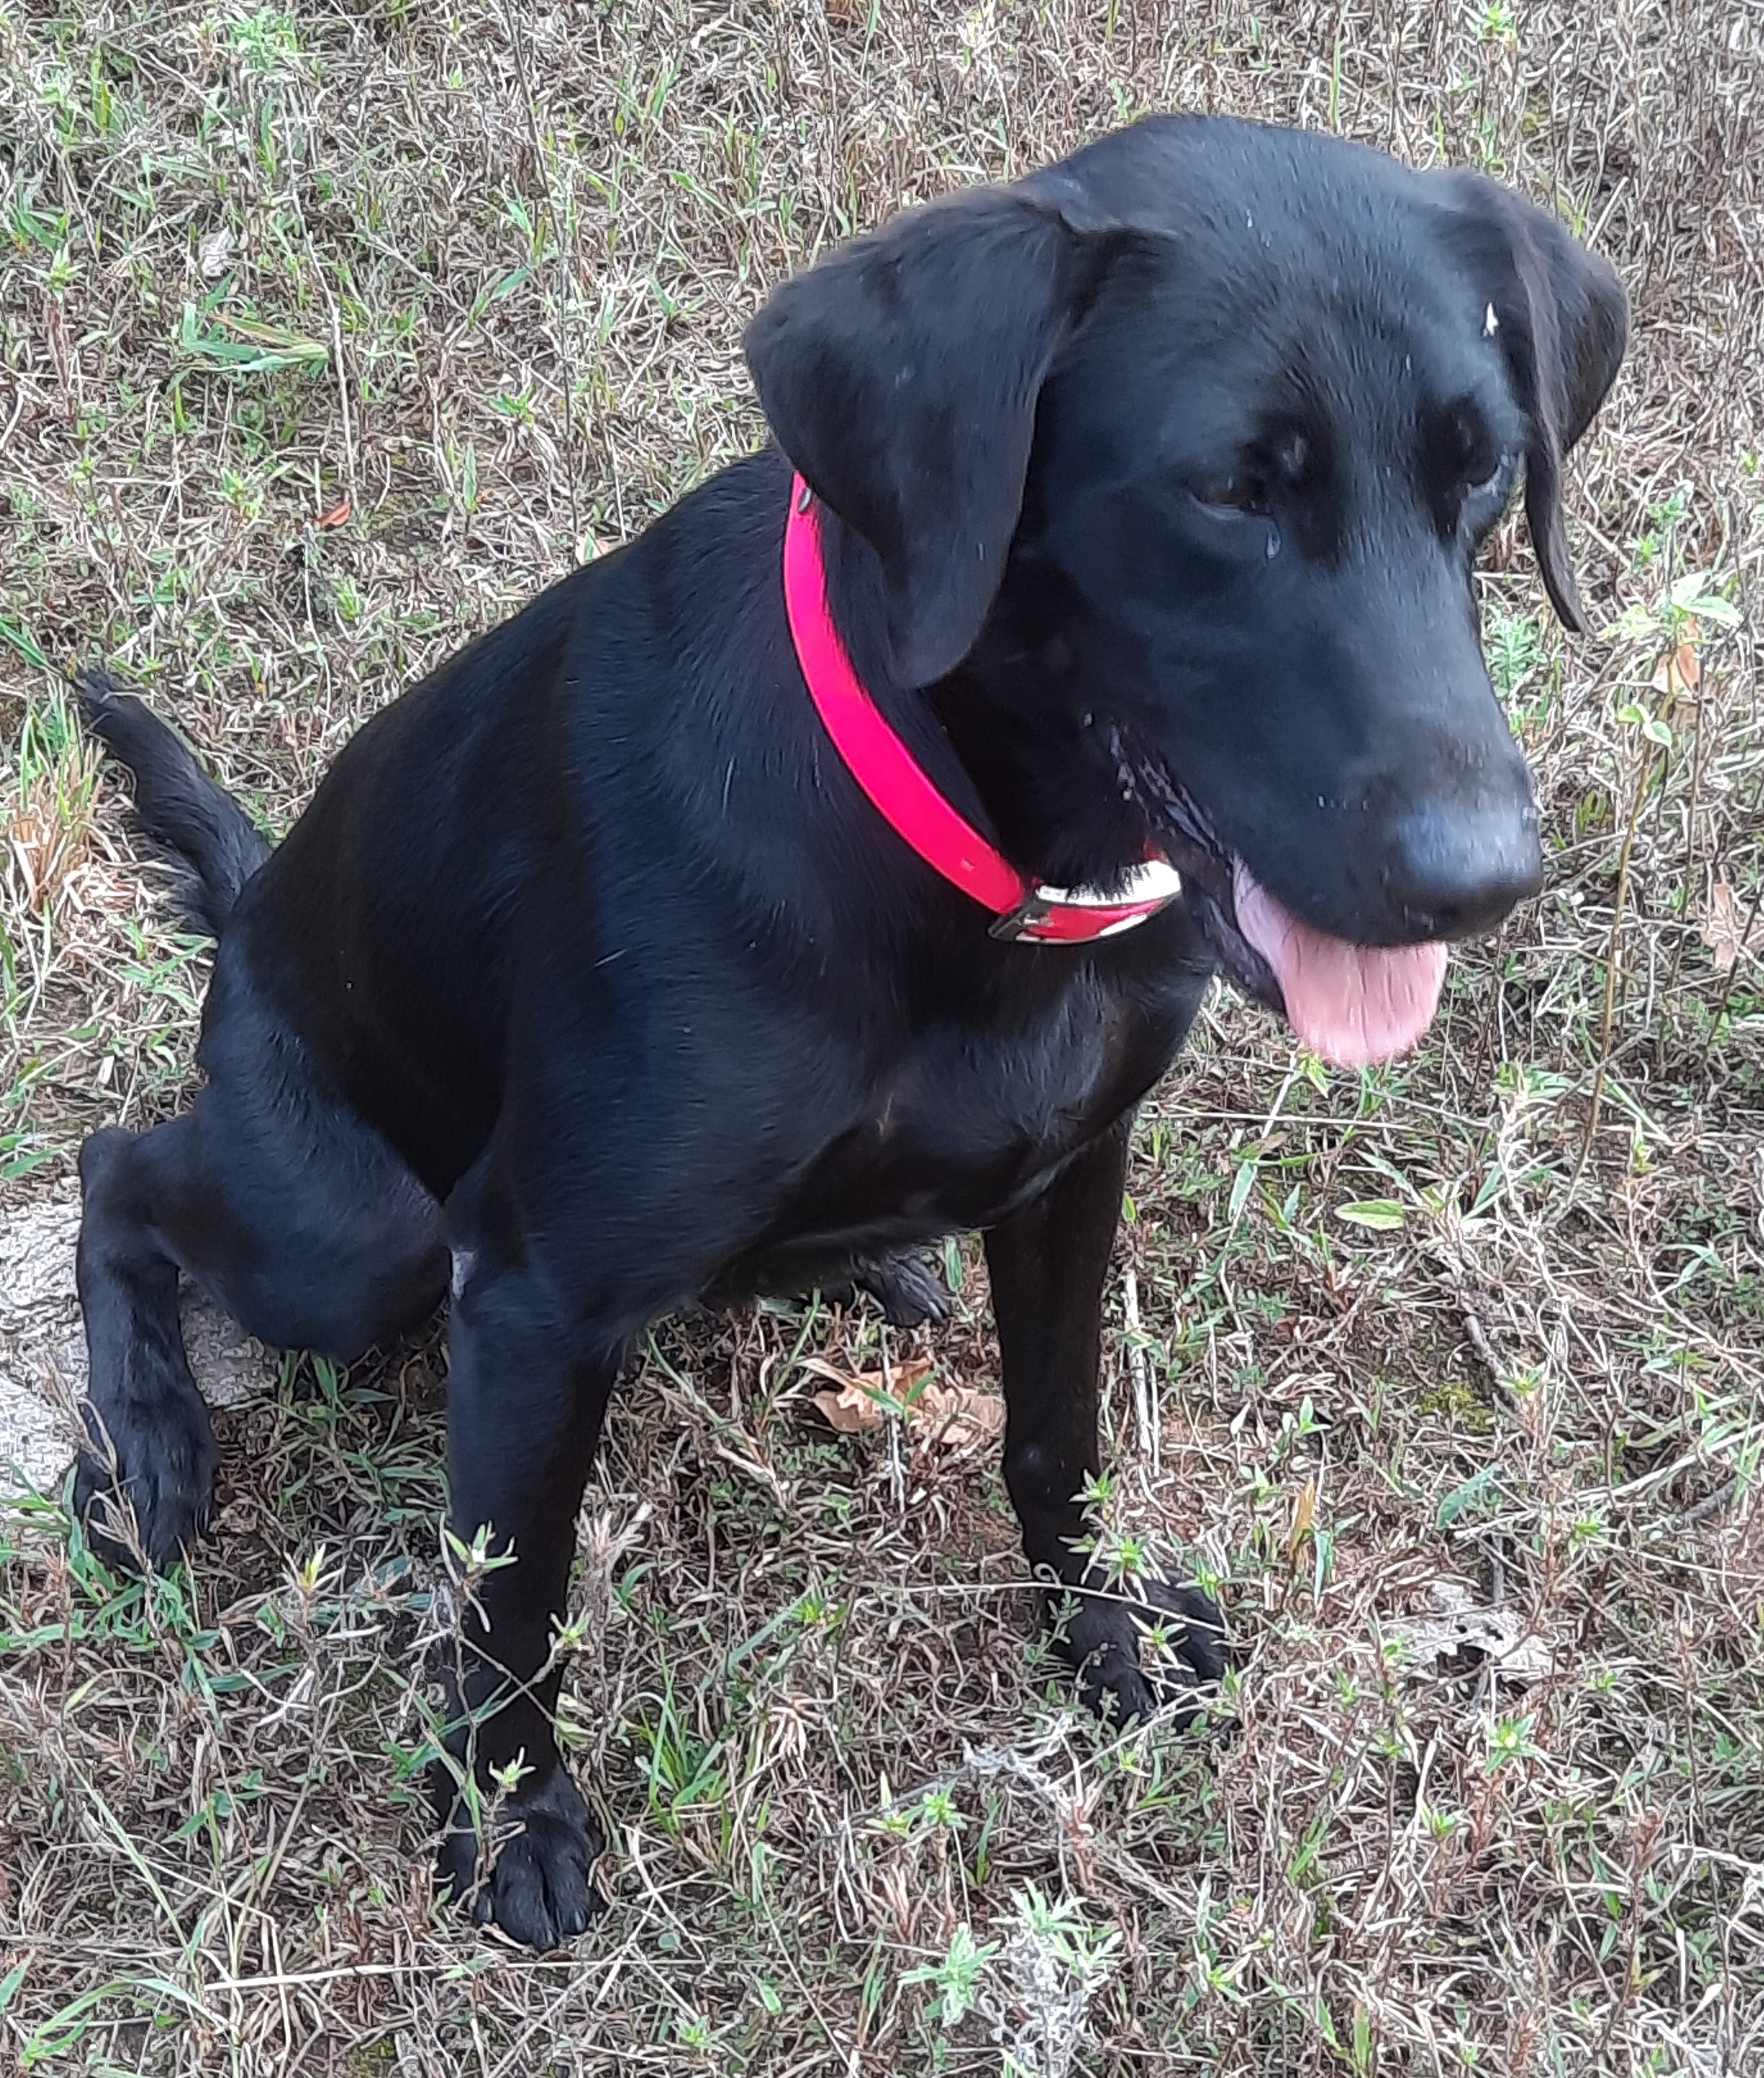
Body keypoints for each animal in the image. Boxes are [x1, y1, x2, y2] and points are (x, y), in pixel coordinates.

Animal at [72, 121, 1620, 1944]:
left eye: (1482, 474)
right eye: (1230, 490)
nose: (1482, 880)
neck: (977, 864)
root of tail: (247, 916)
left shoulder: (1074, 1176)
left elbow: (1057, 1432)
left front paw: (1099, 1623)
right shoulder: (528, 1293)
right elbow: (511, 1601)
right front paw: (508, 1812)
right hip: (356, 1238)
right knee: (120, 1166)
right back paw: (146, 1438)